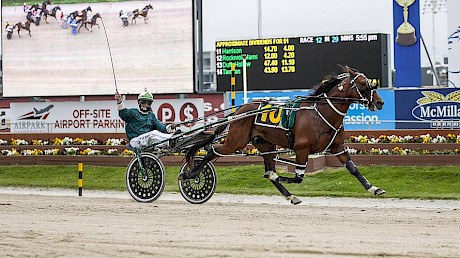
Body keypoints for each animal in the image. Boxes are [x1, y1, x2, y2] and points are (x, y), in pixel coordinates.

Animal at [183, 65, 384, 205]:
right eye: (364, 84)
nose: (379, 102)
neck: (321, 113)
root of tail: (240, 110)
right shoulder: (302, 148)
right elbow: (297, 177)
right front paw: (275, 176)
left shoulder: (337, 148)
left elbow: (353, 169)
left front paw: (374, 188)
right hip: (236, 141)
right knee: (212, 151)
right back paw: (191, 174)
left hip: (265, 144)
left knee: (266, 164)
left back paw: (291, 196)